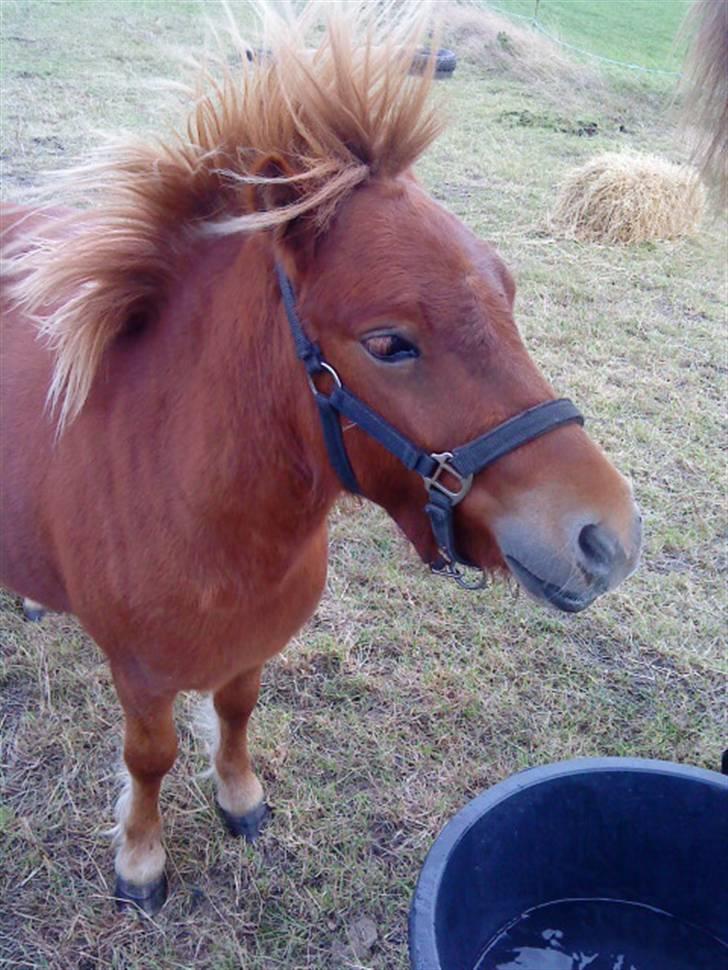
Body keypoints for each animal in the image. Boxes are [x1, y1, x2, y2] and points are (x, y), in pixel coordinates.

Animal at [0, 1, 644, 908]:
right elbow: (149, 759)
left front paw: (239, 798)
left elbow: (237, 712)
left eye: (511, 296)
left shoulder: (251, 649)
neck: (188, 500)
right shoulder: (141, 673)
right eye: (388, 343)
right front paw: (141, 859)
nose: (608, 538)